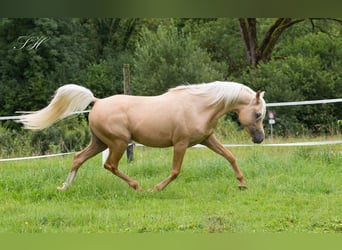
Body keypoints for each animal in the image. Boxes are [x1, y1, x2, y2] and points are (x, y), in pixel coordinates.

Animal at [17, 81, 266, 191]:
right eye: (257, 114)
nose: (260, 139)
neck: (199, 106)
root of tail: (97, 101)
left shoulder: (206, 139)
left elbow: (230, 156)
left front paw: (242, 184)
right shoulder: (181, 144)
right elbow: (175, 171)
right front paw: (156, 188)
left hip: (100, 143)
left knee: (78, 158)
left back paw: (64, 187)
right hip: (117, 143)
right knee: (110, 165)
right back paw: (137, 186)